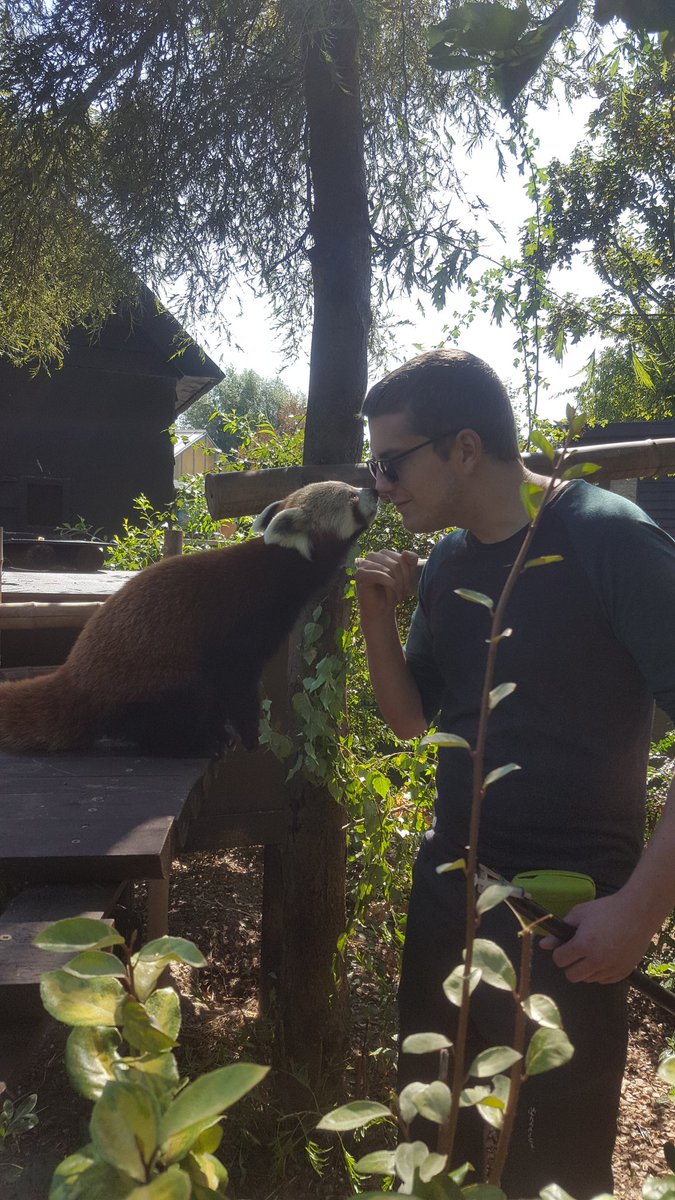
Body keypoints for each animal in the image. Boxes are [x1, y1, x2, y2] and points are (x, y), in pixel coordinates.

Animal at [0, 481, 378, 757]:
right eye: (350, 496)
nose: (374, 489)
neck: (278, 566)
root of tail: (75, 676)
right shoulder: (240, 627)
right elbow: (237, 684)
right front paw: (250, 734)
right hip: (156, 681)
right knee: (177, 711)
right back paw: (196, 743)